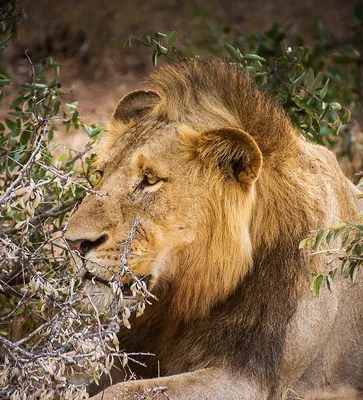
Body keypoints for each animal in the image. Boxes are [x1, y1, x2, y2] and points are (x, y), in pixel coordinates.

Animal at [64, 60, 363, 400]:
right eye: (100, 173)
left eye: (150, 179)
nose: (74, 244)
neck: (189, 293)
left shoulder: (249, 380)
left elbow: (121, 391)